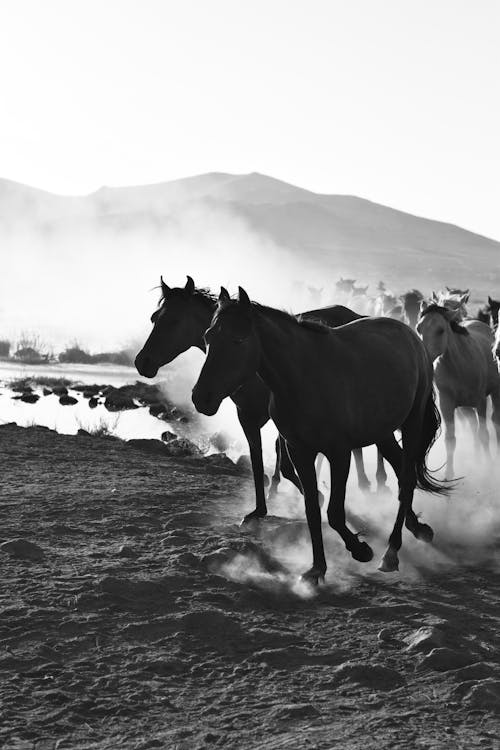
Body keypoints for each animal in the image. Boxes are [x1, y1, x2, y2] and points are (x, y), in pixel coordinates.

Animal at [136, 274, 390, 524]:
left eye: (174, 321)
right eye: (154, 318)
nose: (142, 362)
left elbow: (285, 464)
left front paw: (315, 494)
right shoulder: (247, 417)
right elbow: (257, 461)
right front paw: (260, 509)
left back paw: (375, 482)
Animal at [192, 288, 446, 580]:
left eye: (239, 339)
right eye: (208, 337)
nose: (201, 397)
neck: (304, 378)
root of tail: (409, 334)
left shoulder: (339, 453)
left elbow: (334, 512)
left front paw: (360, 550)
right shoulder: (300, 451)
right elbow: (312, 508)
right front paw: (317, 569)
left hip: (412, 422)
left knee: (406, 477)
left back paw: (391, 552)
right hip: (382, 432)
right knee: (402, 471)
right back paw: (417, 528)